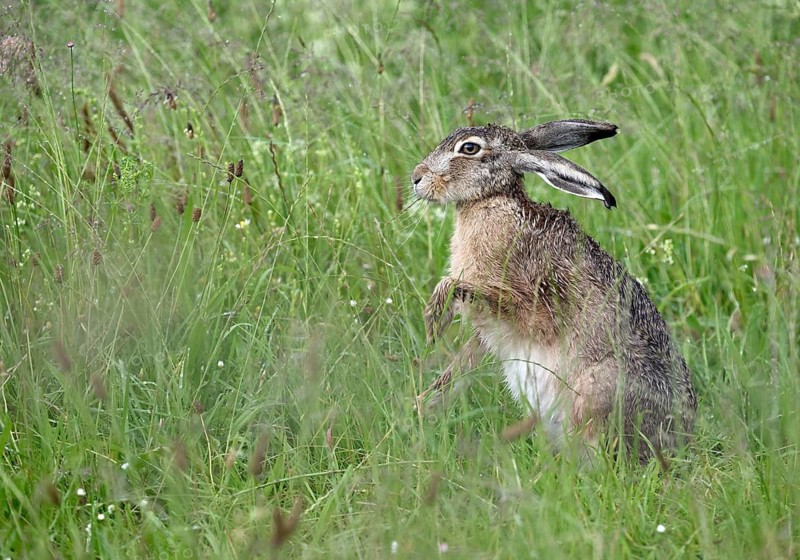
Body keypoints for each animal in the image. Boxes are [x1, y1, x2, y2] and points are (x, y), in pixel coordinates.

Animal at [412, 119, 696, 463]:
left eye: (469, 148)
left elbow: (459, 286)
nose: (416, 178)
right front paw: (423, 403)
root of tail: (682, 439)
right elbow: (463, 361)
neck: (491, 202)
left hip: (597, 389)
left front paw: (433, 319)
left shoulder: (528, 301)